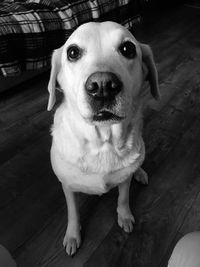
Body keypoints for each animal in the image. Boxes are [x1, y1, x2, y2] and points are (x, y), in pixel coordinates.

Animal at [46, 21, 159, 255]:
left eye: (128, 48)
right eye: (72, 52)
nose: (103, 85)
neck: (103, 142)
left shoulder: (124, 179)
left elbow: (123, 198)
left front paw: (124, 216)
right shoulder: (67, 186)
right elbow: (73, 212)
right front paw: (73, 235)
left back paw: (140, 172)